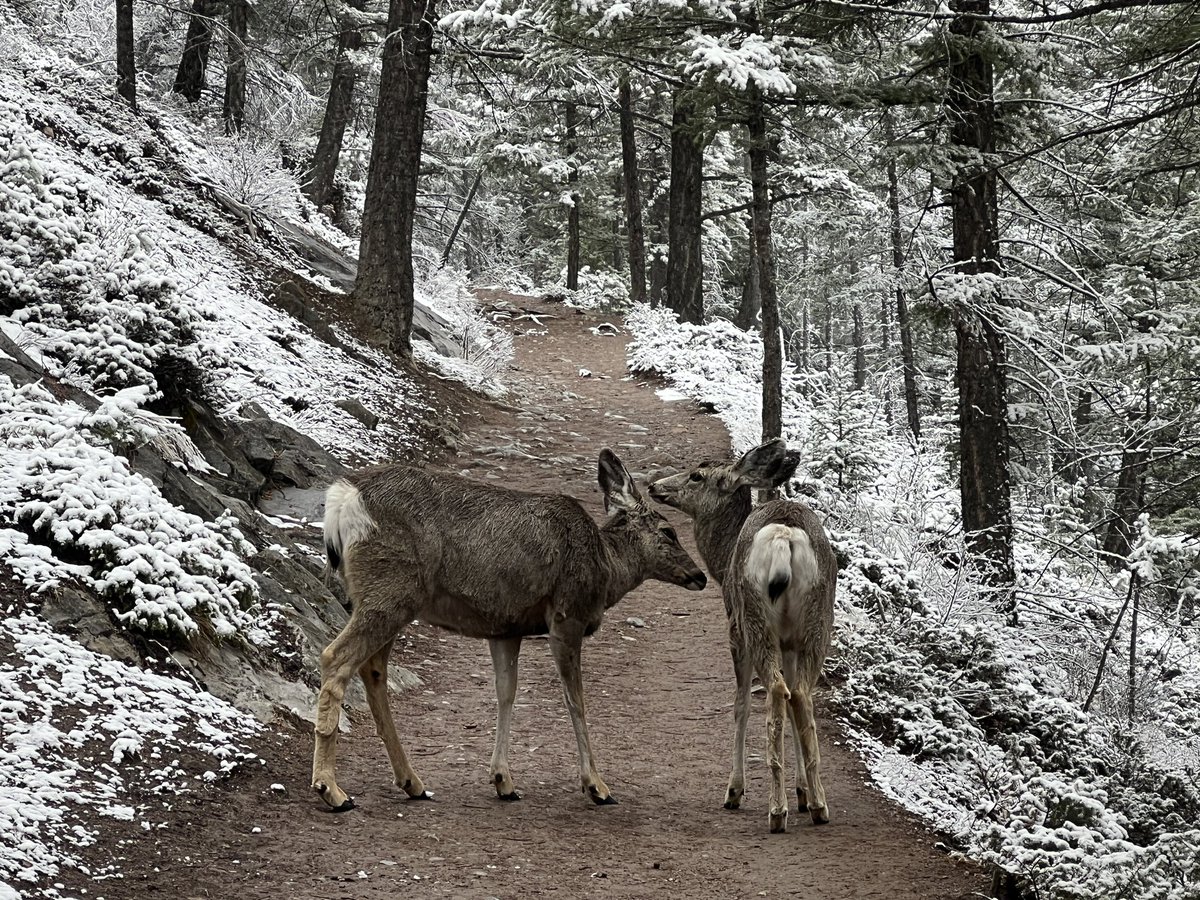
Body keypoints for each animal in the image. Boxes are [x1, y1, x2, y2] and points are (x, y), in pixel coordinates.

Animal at [312, 448, 700, 811]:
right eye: (669, 532)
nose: (699, 576)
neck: (605, 568)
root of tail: (343, 498)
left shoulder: (505, 628)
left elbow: (506, 693)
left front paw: (503, 780)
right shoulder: (566, 616)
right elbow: (575, 699)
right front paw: (597, 785)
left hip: (386, 595)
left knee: (373, 669)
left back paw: (412, 782)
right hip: (391, 588)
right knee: (335, 657)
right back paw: (331, 789)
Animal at [652, 441, 840, 835]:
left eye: (697, 475)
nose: (654, 485)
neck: (722, 563)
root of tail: (784, 538)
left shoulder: (735, 629)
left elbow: (739, 704)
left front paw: (734, 790)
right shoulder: (788, 643)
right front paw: (802, 791)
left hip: (754, 618)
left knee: (776, 692)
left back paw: (776, 810)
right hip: (817, 620)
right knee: (800, 693)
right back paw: (817, 804)